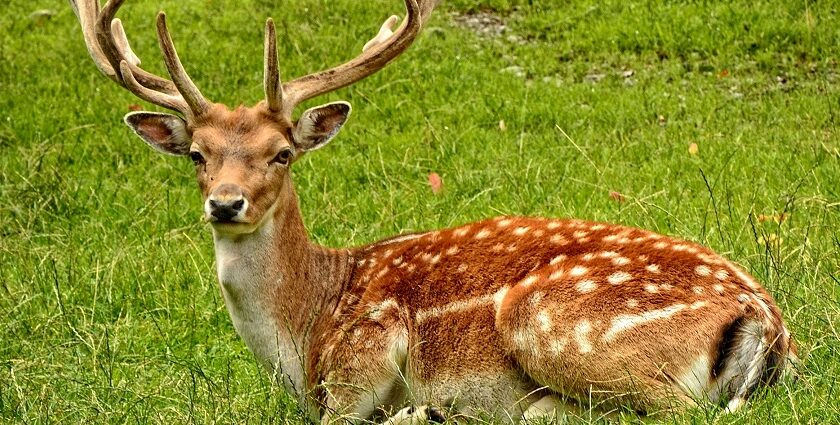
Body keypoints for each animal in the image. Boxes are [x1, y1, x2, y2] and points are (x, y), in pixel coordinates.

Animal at [69, 0, 796, 420]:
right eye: (198, 153)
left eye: (281, 153)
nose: (226, 203)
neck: (305, 327)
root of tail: (767, 320)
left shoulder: (364, 355)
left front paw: (420, 410)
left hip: (553, 323)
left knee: (675, 410)